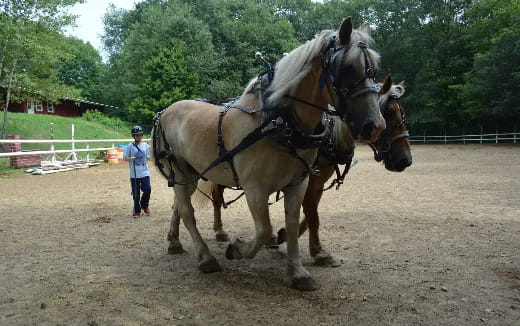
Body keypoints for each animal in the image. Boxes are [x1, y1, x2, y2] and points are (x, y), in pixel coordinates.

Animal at [152, 17, 384, 290]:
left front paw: (298, 272)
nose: (374, 125)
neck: (277, 121)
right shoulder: (255, 188)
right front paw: (236, 249)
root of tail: (165, 111)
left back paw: (174, 242)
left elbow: (292, 225)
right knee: (188, 213)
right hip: (178, 171)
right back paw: (206, 258)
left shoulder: (298, 183)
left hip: (192, 174)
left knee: (179, 205)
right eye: (347, 68)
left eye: (374, 69)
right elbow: (264, 230)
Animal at [201, 73, 412, 264]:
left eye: (401, 112)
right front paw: (317, 252)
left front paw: (284, 236)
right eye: (389, 112)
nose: (405, 160)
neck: (328, 139)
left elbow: (310, 216)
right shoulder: (308, 183)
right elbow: (313, 217)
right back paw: (219, 230)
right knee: (217, 198)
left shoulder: (316, 185)